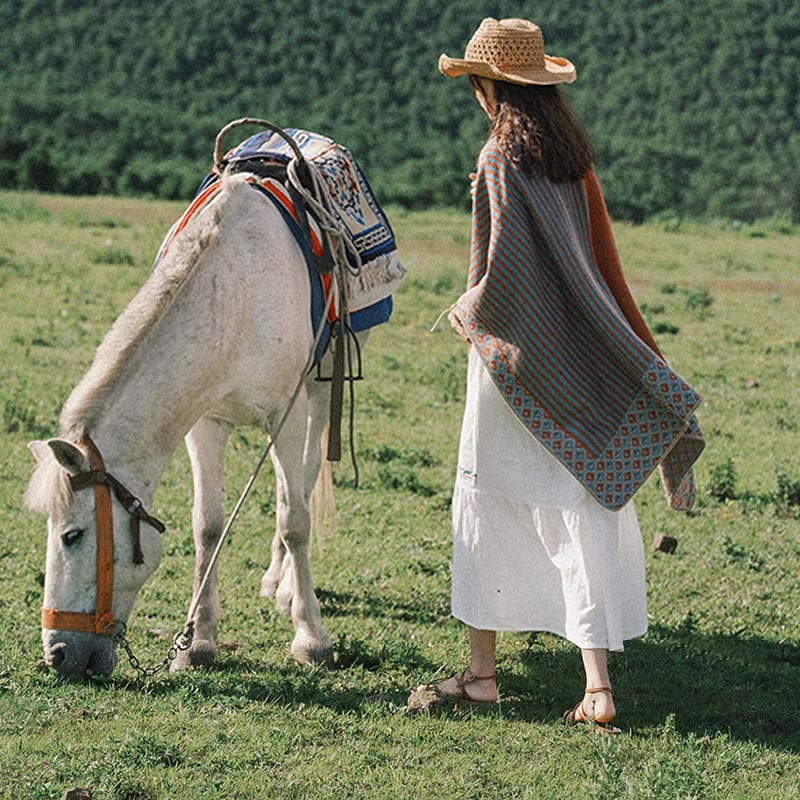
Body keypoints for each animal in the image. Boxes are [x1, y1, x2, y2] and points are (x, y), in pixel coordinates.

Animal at [25, 172, 356, 680]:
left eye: (71, 535)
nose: (58, 655)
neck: (237, 297)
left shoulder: (288, 411)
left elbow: (295, 521)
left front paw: (312, 639)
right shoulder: (204, 421)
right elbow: (208, 525)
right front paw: (196, 642)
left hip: (319, 395)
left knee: (302, 483)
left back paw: (285, 589)